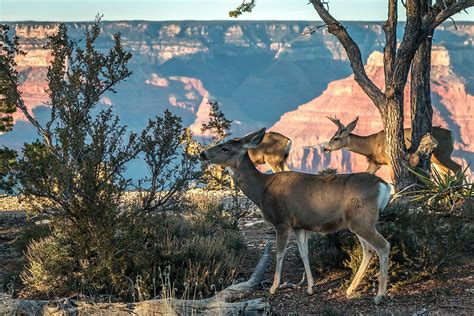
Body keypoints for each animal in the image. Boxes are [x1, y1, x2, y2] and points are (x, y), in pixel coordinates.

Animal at [200, 128, 392, 304]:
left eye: (225, 148)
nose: (203, 154)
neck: (262, 191)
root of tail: (384, 185)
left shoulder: (282, 220)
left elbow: (280, 253)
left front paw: (273, 287)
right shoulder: (299, 224)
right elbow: (303, 252)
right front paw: (311, 288)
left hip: (362, 220)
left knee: (383, 246)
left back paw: (379, 295)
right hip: (357, 222)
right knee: (368, 250)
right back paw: (350, 289)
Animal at [324, 116, 462, 174]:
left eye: (335, 138)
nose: (325, 148)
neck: (371, 145)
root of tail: (452, 134)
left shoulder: (390, 160)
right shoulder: (375, 163)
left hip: (442, 154)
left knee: (458, 168)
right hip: (436, 160)